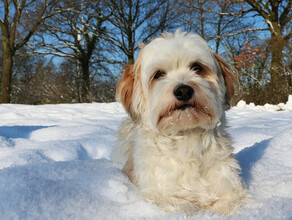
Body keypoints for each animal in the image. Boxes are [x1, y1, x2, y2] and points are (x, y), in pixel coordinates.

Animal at [110, 30, 248, 216]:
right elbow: (184, 207)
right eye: (158, 74)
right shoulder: (161, 195)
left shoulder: (230, 188)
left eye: (197, 67)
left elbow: (230, 204)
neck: (186, 136)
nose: (183, 90)